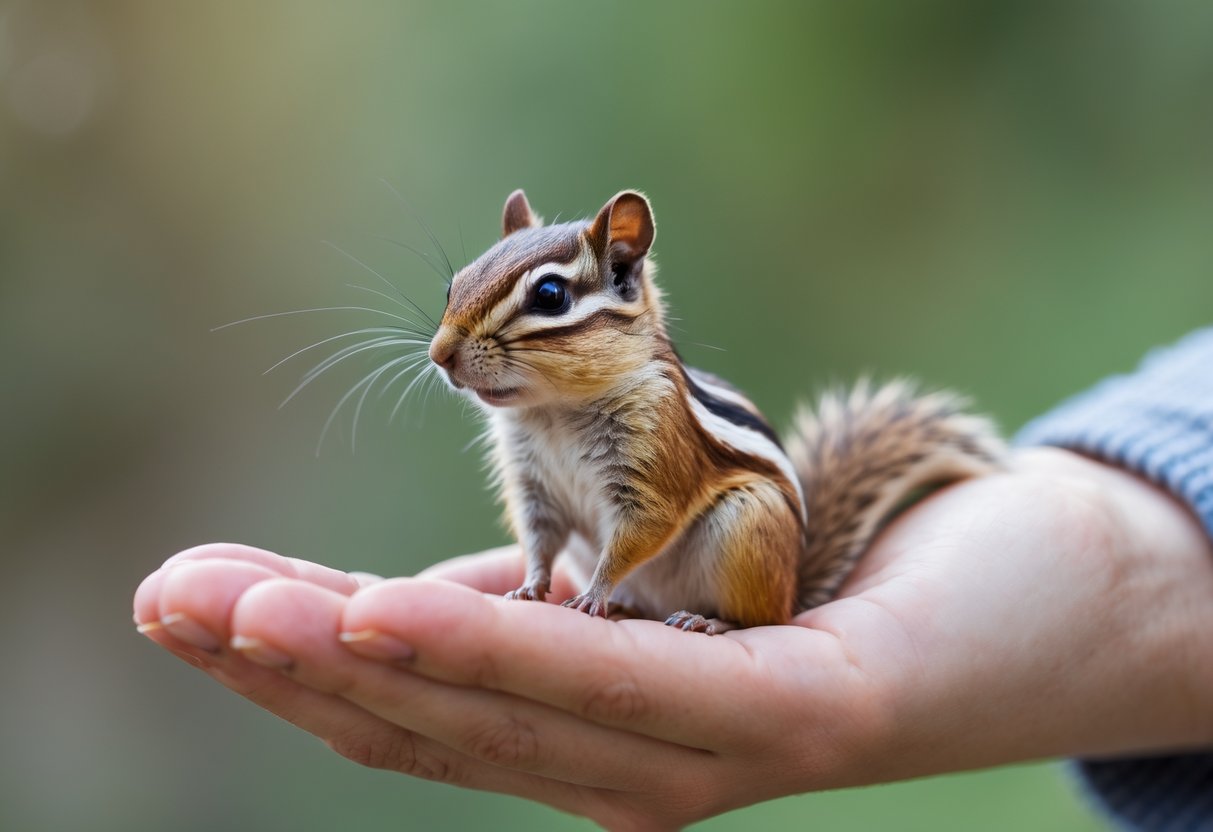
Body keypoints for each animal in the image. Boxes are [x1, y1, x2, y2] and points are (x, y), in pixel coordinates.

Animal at [428, 189, 1006, 634]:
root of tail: (793, 588)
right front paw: (529, 587)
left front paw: (593, 595)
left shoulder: (654, 457)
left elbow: (640, 531)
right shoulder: (534, 486)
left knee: (761, 619)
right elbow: (538, 539)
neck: (552, 411)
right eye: (455, 284)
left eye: (549, 294)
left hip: (747, 525)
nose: (439, 355)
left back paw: (707, 619)